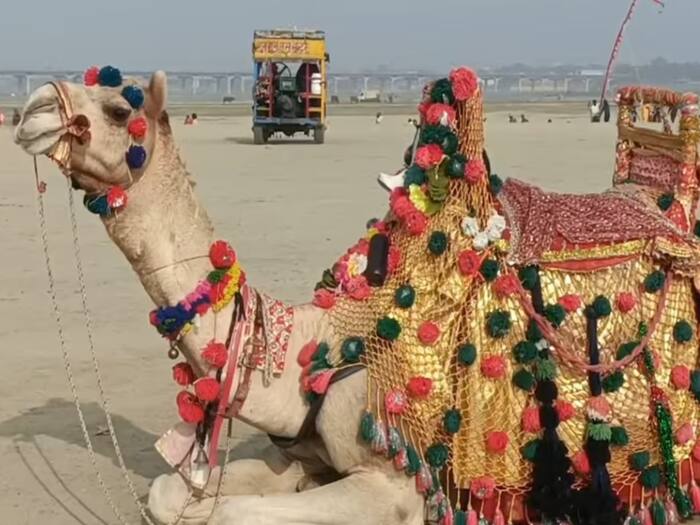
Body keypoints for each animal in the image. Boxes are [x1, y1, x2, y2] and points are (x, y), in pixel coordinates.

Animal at [14, 66, 700, 525]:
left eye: (114, 106)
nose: (32, 105)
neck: (323, 341)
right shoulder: (307, 451)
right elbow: (170, 492)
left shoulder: (397, 482)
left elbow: (227, 510)